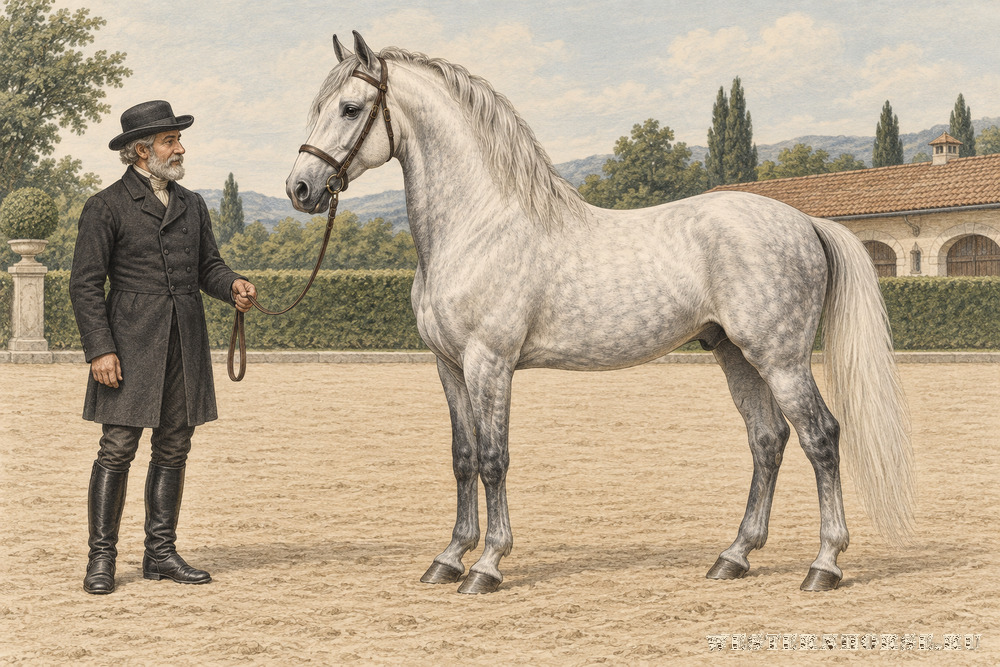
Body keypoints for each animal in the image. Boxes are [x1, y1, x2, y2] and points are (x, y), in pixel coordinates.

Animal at [285, 31, 915, 594]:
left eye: (349, 108)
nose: (301, 188)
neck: (477, 226)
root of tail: (805, 221)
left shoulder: (490, 363)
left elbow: (493, 459)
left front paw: (487, 566)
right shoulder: (448, 365)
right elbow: (463, 458)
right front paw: (448, 559)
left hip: (781, 359)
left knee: (821, 438)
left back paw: (824, 565)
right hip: (735, 354)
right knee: (768, 440)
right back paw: (733, 557)